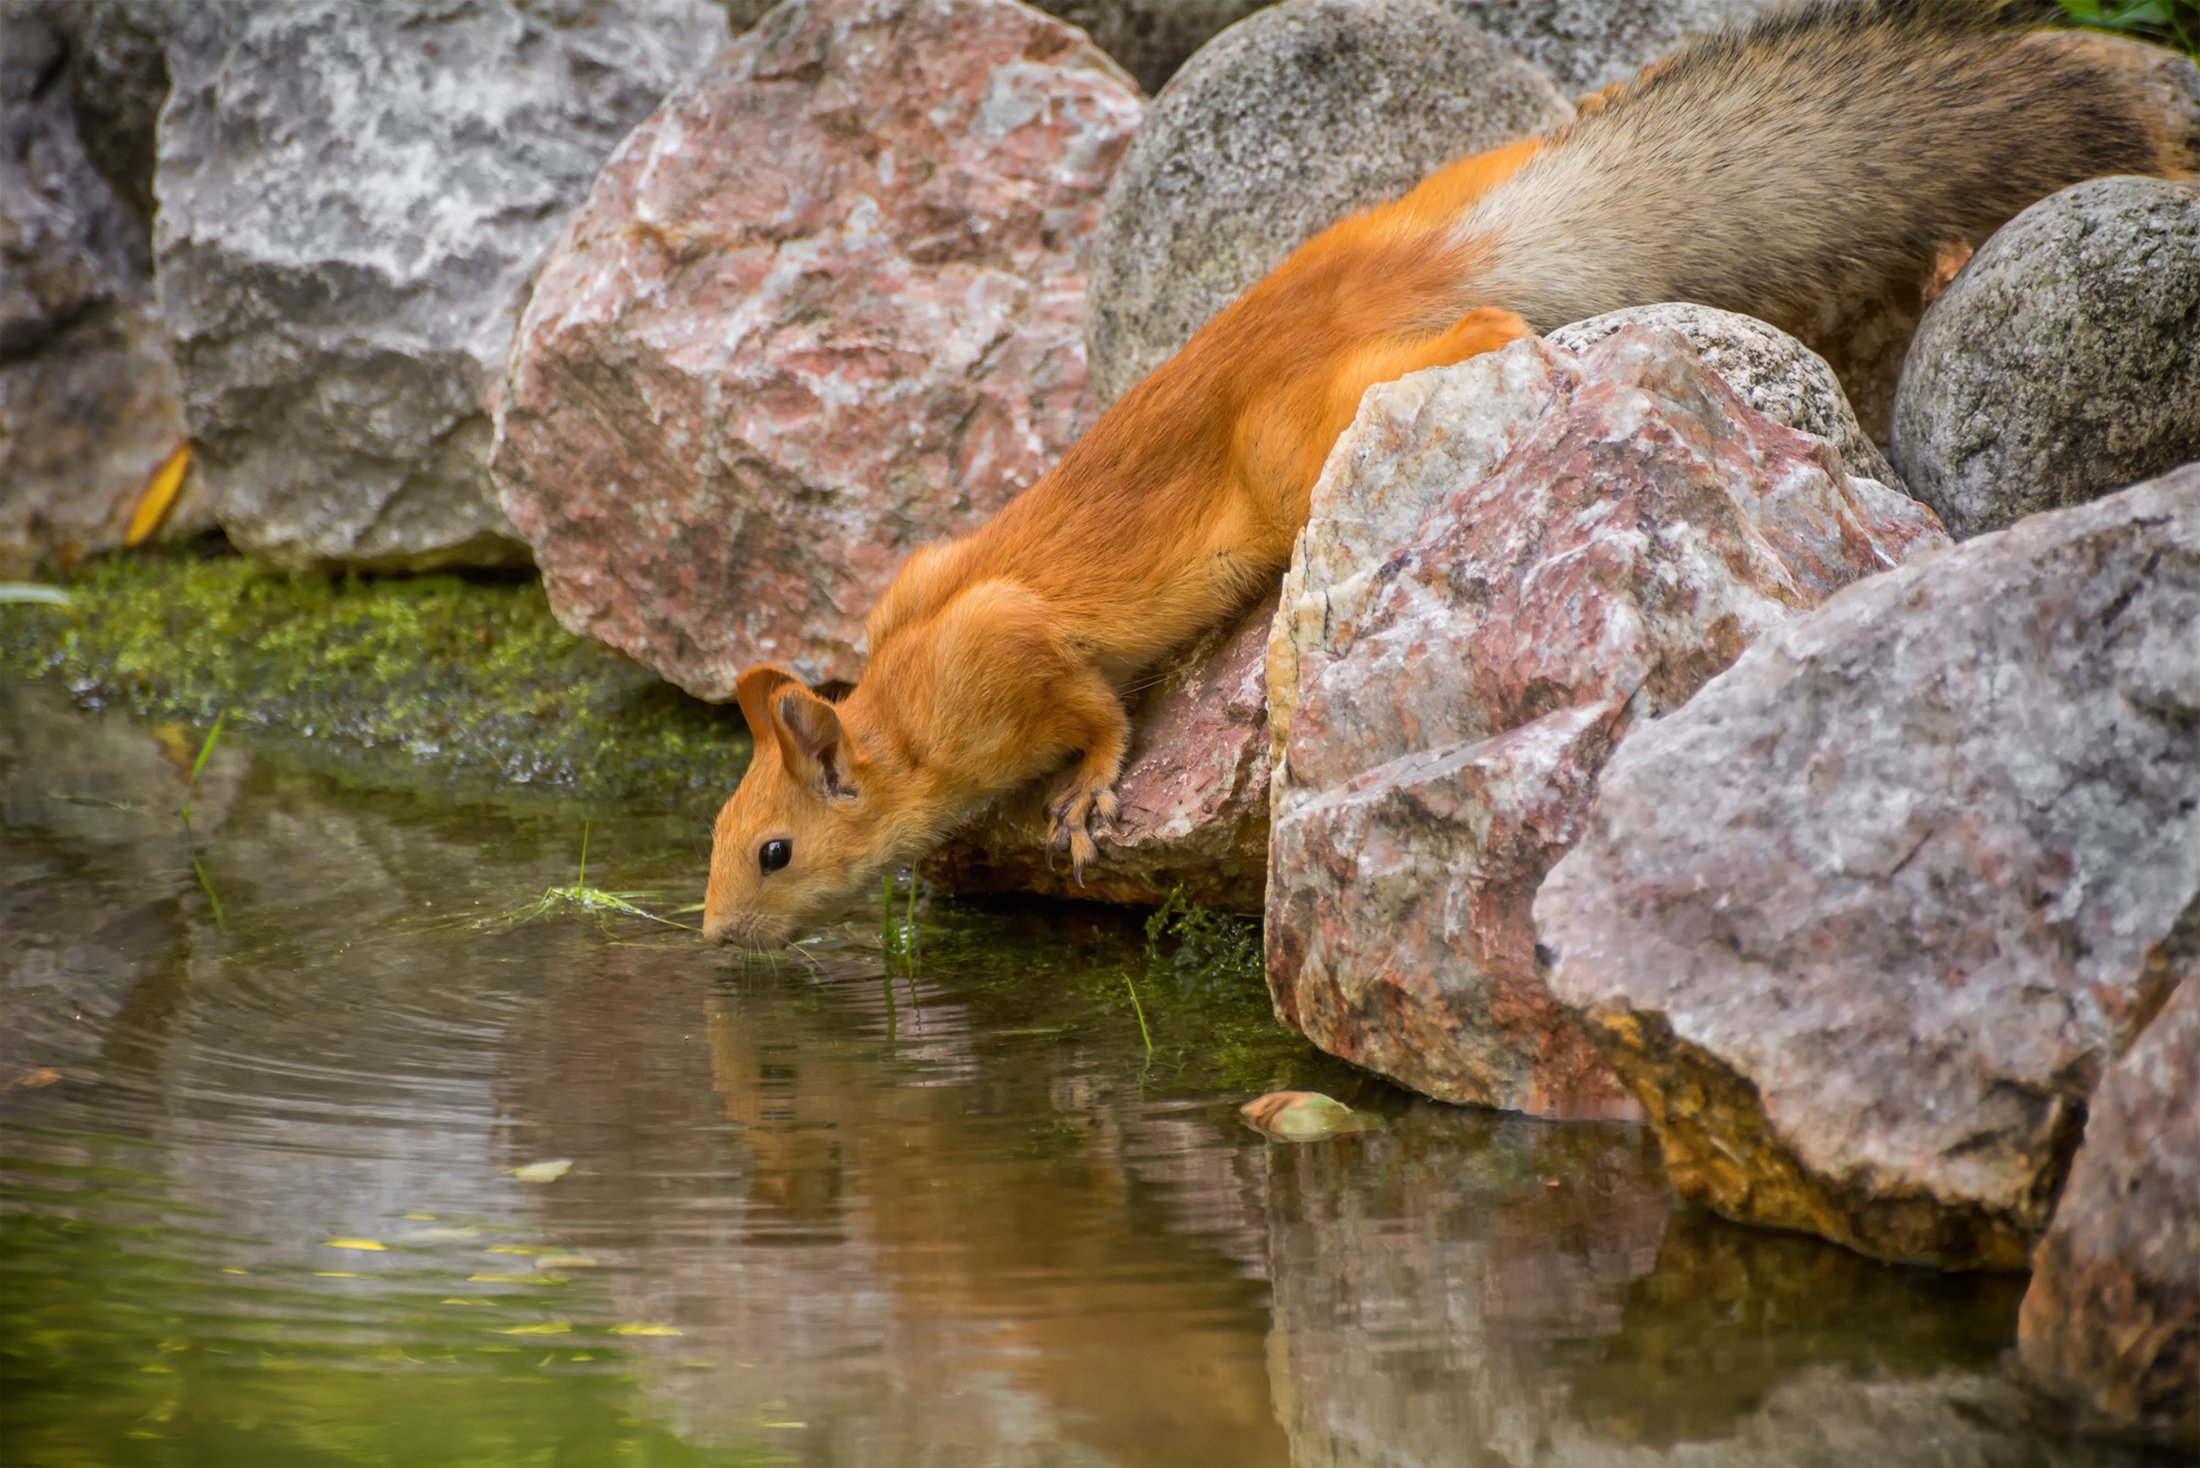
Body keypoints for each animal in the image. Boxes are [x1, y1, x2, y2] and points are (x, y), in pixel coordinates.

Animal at [699, 0, 2182, 955]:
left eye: (775, 849)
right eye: (718, 829)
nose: (710, 934)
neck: (900, 705)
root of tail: (1387, 270)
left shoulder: (1004, 651)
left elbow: (1091, 707)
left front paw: (1088, 792)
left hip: (1296, 445)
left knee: (1452, 342)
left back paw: (1494, 330)